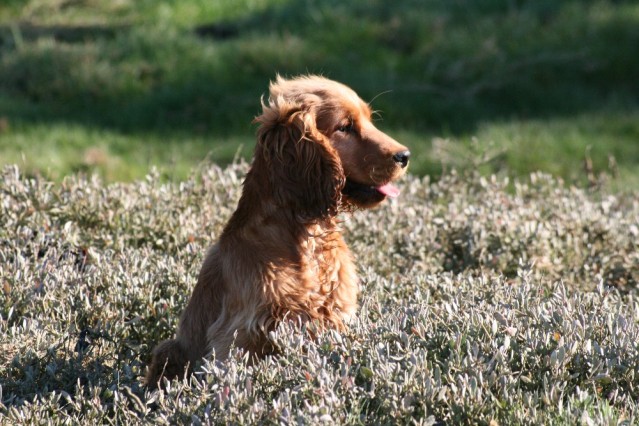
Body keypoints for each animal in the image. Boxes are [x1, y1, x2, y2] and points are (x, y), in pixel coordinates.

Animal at [146, 75, 410, 388]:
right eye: (345, 127)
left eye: (369, 120)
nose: (405, 155)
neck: (305, 240)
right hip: (169, 350)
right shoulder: (240, 335)